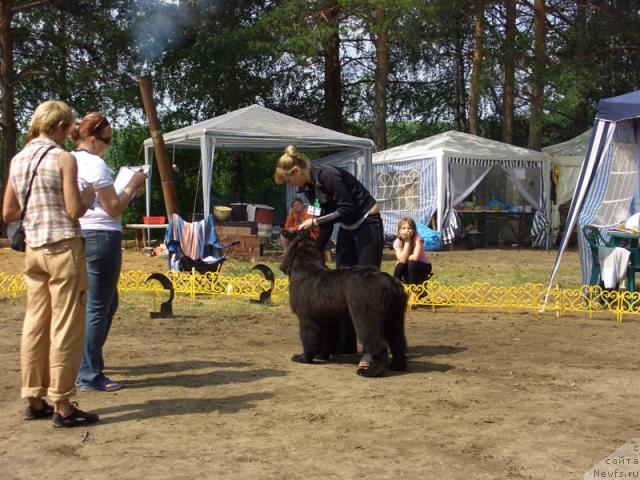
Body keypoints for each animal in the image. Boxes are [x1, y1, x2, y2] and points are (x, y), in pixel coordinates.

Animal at [278, 233, 408, 378]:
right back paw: (397, 366)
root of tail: (390, 283)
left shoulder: (307, 320)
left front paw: (303, 358)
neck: (306, 267)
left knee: (380, 346)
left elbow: (308, 340)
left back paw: (371, 372)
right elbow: (328, 340)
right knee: (398, 344)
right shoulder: (329, 320)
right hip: (396, 319)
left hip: (367, 320)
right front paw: (323, 356)